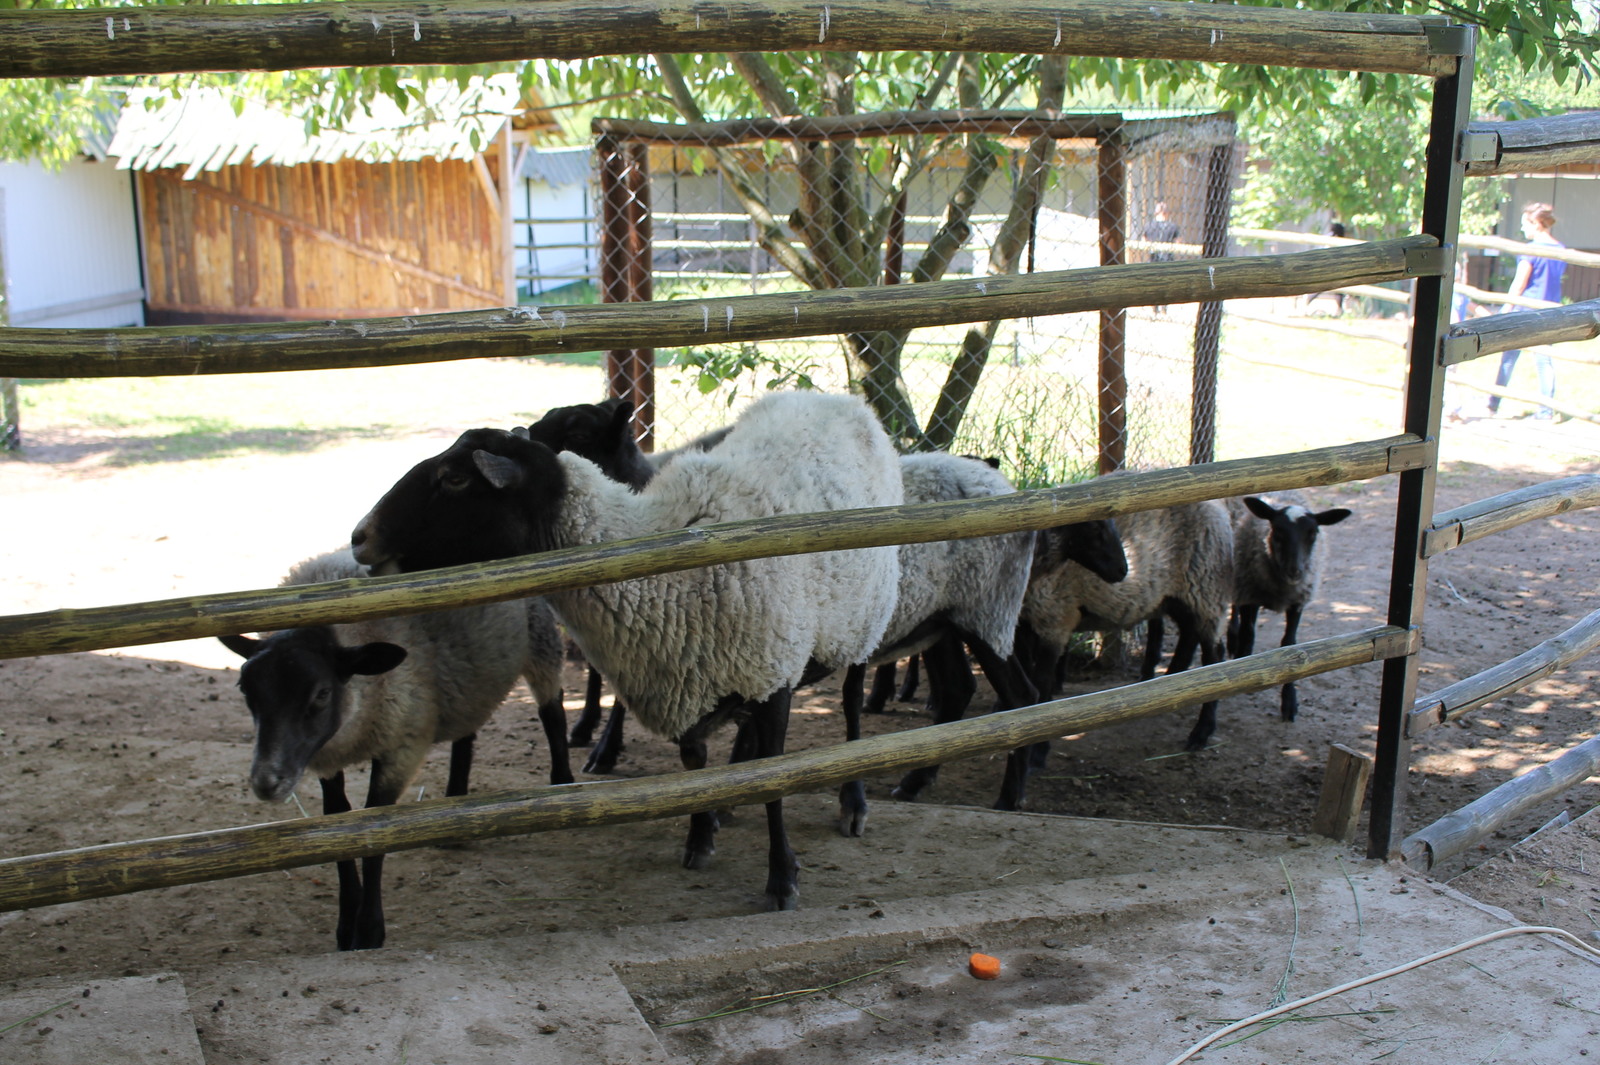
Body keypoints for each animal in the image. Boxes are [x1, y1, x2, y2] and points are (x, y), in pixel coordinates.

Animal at [219, 546, 569, 946]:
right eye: (244, 688)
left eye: (322, 693)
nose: (267, 782)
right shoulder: (328, 760)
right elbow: (338, 828)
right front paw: (346, 926)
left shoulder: (401, 746)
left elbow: (375, 834)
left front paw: (370, 931)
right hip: (470, 677)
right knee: (467, 731)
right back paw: (456, 804)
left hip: (541, 638)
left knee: (553, 712)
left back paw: (563, 781)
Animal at [350, 390, 902, 914]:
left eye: (455, 479)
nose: (359, 536)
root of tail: (838, 400)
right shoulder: (697, 678)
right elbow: (695, 765)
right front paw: (701, 836)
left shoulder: (771, 677)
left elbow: (772, 782)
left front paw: (782, 880)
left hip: (862, 620)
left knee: (851, 706)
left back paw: (853, 802)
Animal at [1017, 495, 1228, 745]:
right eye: (1094, 525)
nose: (1122, 569)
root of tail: (1218, 507)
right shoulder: (1023, 624)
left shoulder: (1055, 618)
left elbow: (1041, 681)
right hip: (1180, 597)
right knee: (1188, 636)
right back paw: (1172, 685)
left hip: (1204, 588)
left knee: (1214, 655)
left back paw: (1202, 731)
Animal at [1222, 489, 1350, 722]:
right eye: (1278, 531)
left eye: (1313, 533)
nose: (1295, 571)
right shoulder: (1250, 595)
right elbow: (1248, 633)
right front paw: (1244, 665)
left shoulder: (1297, 602)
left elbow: (1290, 644)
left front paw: (1290, 700)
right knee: (1235, 610)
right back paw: (1233, 639)